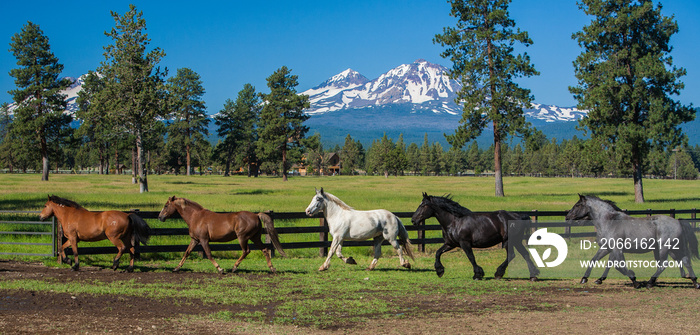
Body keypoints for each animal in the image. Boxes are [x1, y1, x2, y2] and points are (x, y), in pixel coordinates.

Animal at [157, 196, 286, 274]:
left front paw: (220, 269)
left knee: (246, 251)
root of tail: (256, 215)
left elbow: (209, 254)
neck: (196, 217)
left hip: (243, 237)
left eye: (166, 206)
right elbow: (186, 252)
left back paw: (234, 267)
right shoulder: (195, 240)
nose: (160, 217)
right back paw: (272, 268)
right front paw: (176, 268)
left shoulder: (204, 240)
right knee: (264, 250)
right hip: (255, 237)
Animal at [408, 194, 540, 280]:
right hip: (516, 241)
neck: (454, 221)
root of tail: (518, 216)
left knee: (512, 255)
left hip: (508, 241)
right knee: (525, 254)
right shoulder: (450, 244)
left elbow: (471, 257)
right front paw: (440, 271)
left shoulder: (464, 243)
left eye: (423, 205)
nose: (413, 220)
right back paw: (533, 276)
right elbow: (438, 253)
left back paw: (498, 273)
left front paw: (478, 274)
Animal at [568, 196, 696, 290]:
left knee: (664, 264)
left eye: (578, 205)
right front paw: (585, 279)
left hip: (664, 248)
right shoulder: (606, 248)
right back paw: (695, 282)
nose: (567, 216)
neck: (609, 222)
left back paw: (650, 283)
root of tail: (677, 222)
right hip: (673, 249)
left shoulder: (617, 249)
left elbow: (619, 266)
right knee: (685, 261)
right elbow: (594, 260)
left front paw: (635, 281)